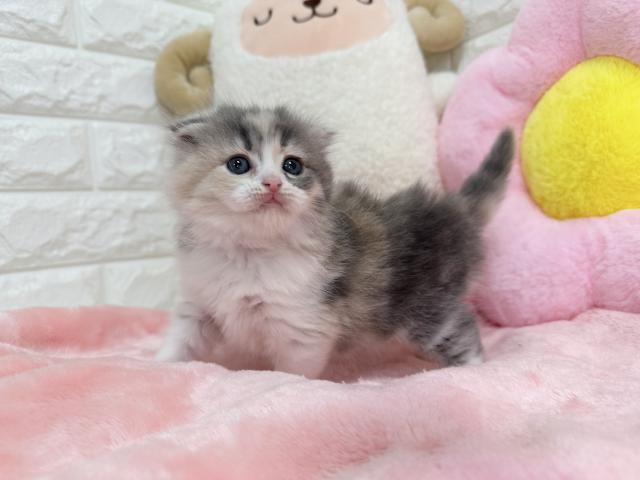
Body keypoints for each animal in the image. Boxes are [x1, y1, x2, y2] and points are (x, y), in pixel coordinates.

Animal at [156, 105, 515, 378]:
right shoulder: (200, 303)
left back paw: (473, 370)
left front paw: (282, 387)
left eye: (292, 165)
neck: (249, 251)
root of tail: (454, 207)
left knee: (462, 327)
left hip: (428, 308)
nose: (272, 183)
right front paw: (156, 366)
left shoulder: (303, 325)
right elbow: (181, 340)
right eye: (238, 164)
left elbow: (293, 373)